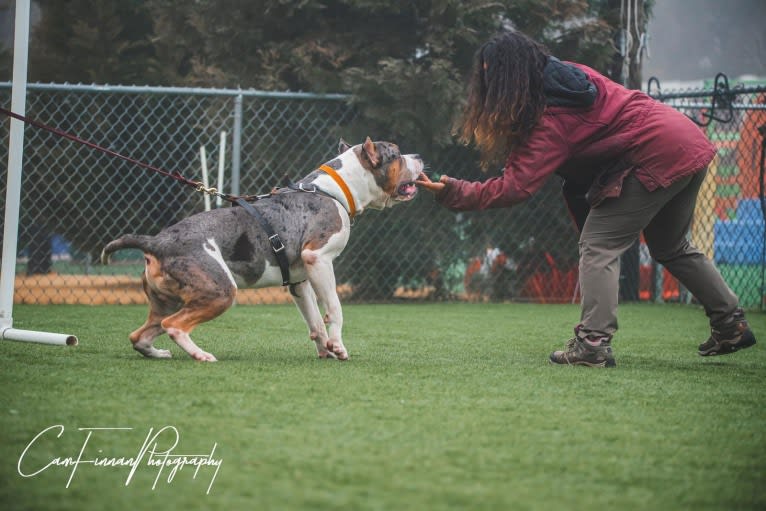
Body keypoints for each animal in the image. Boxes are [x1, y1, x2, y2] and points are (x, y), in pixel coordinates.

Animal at [102, 138, 424, 362]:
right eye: (396, 154)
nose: (419, 156)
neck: (333, 191)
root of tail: (156, 242)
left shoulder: (300, 281)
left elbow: (315, 321)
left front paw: (326, 350)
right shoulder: (318, 259)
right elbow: (334, 309)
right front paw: (340, 347)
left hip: (167, 301)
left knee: (139, 335)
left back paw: (158, 353)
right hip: (219, 291)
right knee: (174, 326)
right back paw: (200, 355)